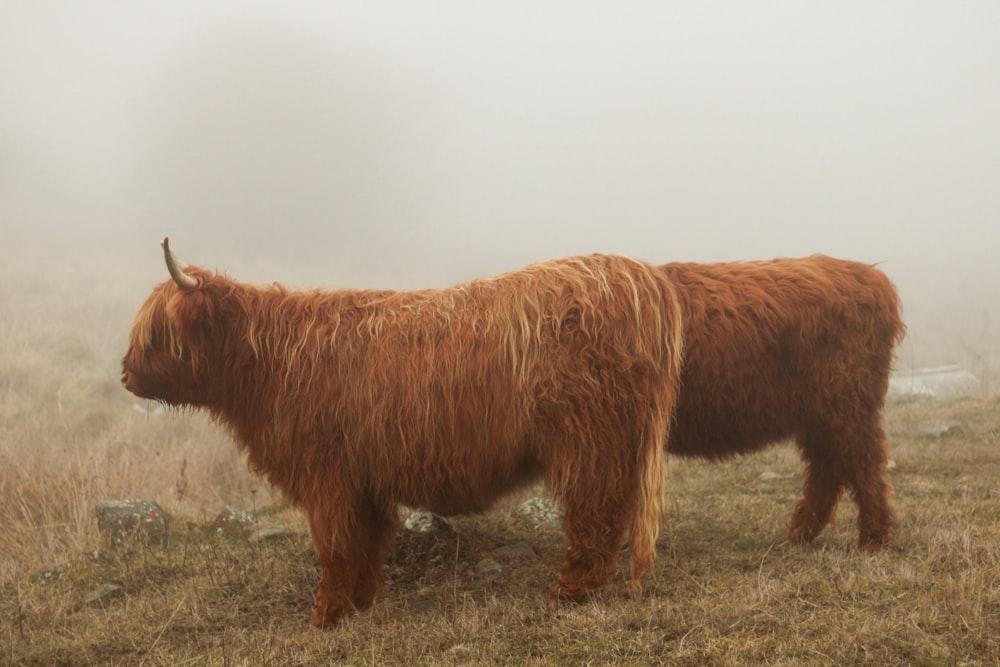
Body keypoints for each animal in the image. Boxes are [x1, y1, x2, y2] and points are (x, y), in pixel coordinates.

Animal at [115, 240, 680, 628]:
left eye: (156, 333)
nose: (125, 375)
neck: (271, 366)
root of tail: (637, 275)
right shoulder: (364, 481)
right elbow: (367, 544)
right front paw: (364, 601)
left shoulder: (328, 479)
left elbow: (335, 547)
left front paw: (325, 615)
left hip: (587, 439)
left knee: (595, 513)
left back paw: (568, 592)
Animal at [660, 256, 904, 552]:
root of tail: (870, 275)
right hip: (821, 415)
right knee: (828, 467)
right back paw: (802, 532)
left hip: (845, 406)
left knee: (864, 465)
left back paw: (873, 539)